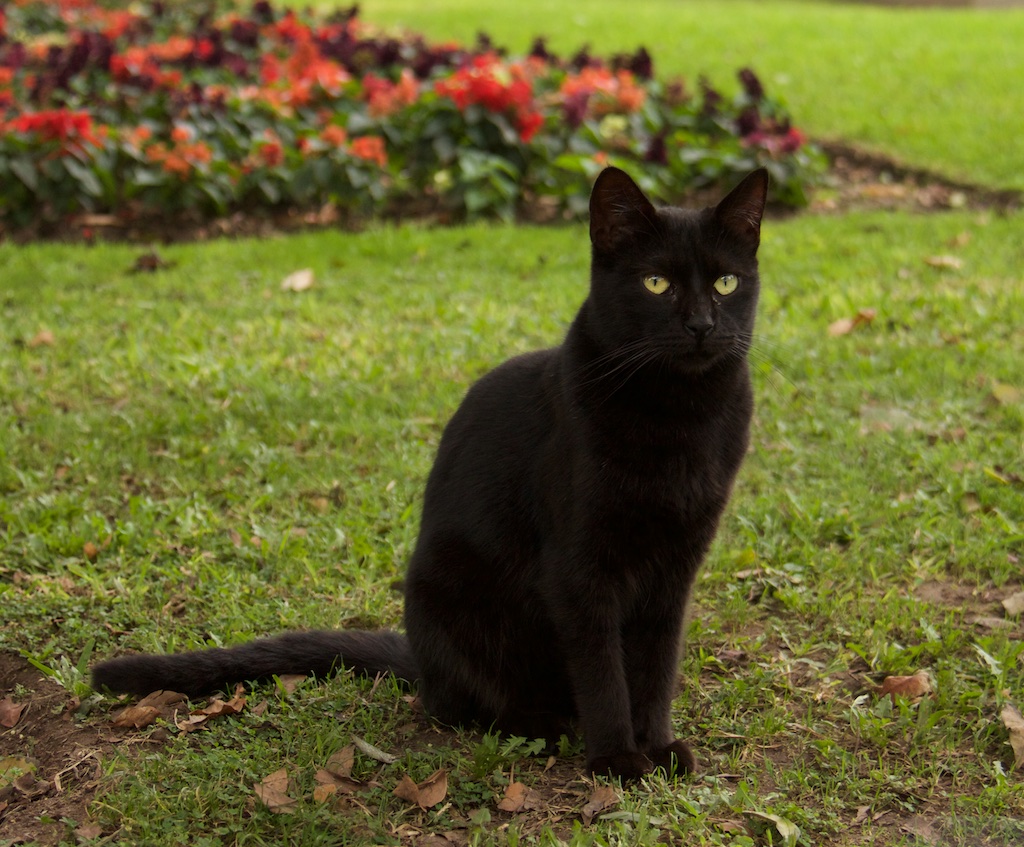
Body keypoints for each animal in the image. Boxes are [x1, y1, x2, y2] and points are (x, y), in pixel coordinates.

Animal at [92, 165, 769, 781]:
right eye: (656, 283)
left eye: (726, 282)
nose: (702, 325)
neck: (678, 417)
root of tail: (419, 657)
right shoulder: (580, 568)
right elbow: (603, 671)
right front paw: (618, 759)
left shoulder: (675, 567)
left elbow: (655, 667)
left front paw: (658, 747)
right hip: (453, 597)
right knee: (460, 704)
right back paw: (543, 724)